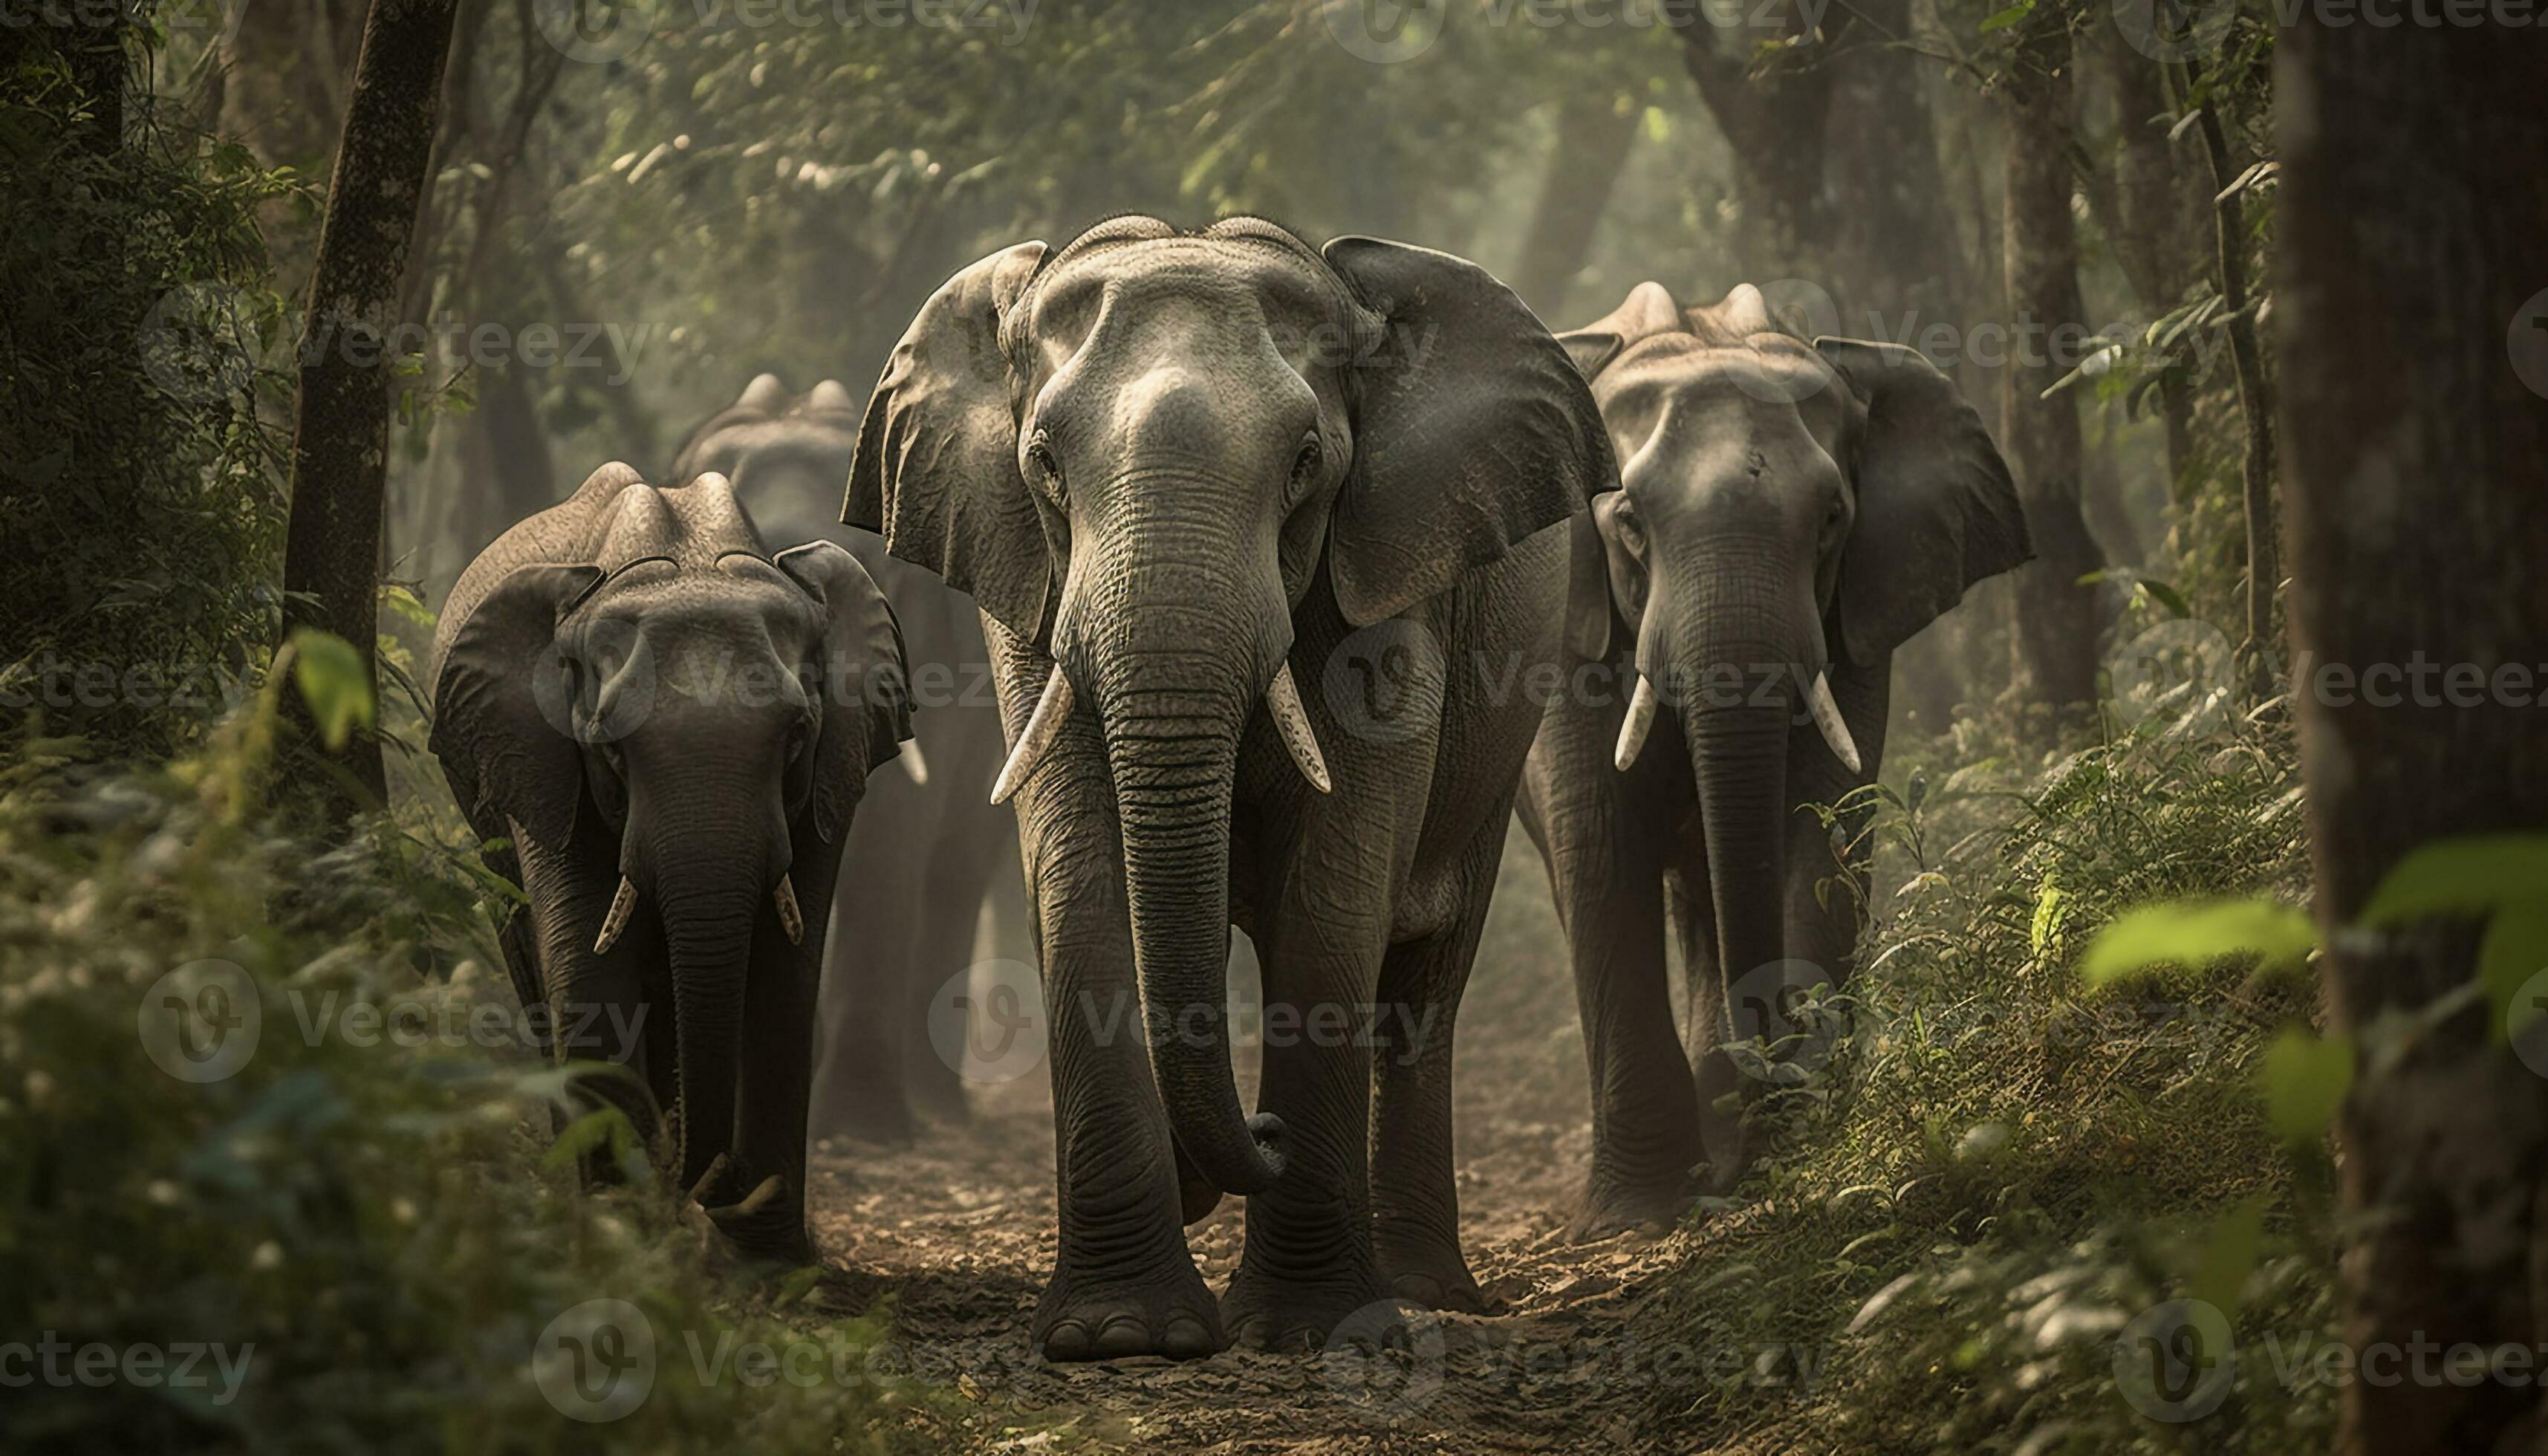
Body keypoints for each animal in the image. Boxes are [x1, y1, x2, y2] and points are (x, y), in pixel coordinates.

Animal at [427, 461, 912, 1260]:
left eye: (795, 735)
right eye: (612, 750)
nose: (705, 1183)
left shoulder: (836, 763)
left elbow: (785, 973)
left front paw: (768, 1257)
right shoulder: (541, 755)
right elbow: (586, 967)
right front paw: (621, 1233)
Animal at [845, 216, 1615, 1358]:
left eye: (1307, 464)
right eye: (1044, 466)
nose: (1265, 1128)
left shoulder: (1390, 576)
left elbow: (1338, 884)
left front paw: (1306, 1331)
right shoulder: (1026, 588)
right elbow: (1079, 872)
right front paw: (1122, 1336)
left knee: (1424, 981)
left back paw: (1423, 1289)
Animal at [1516, 281, 2033, 1237]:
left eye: (1830, 521)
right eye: (1629, 526)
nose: (1763, 1098)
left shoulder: (1857, 620)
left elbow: (1821, 829)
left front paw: (1791, 1149)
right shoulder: (1566, 625)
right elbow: (1600, 844)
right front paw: (1636, 1216)